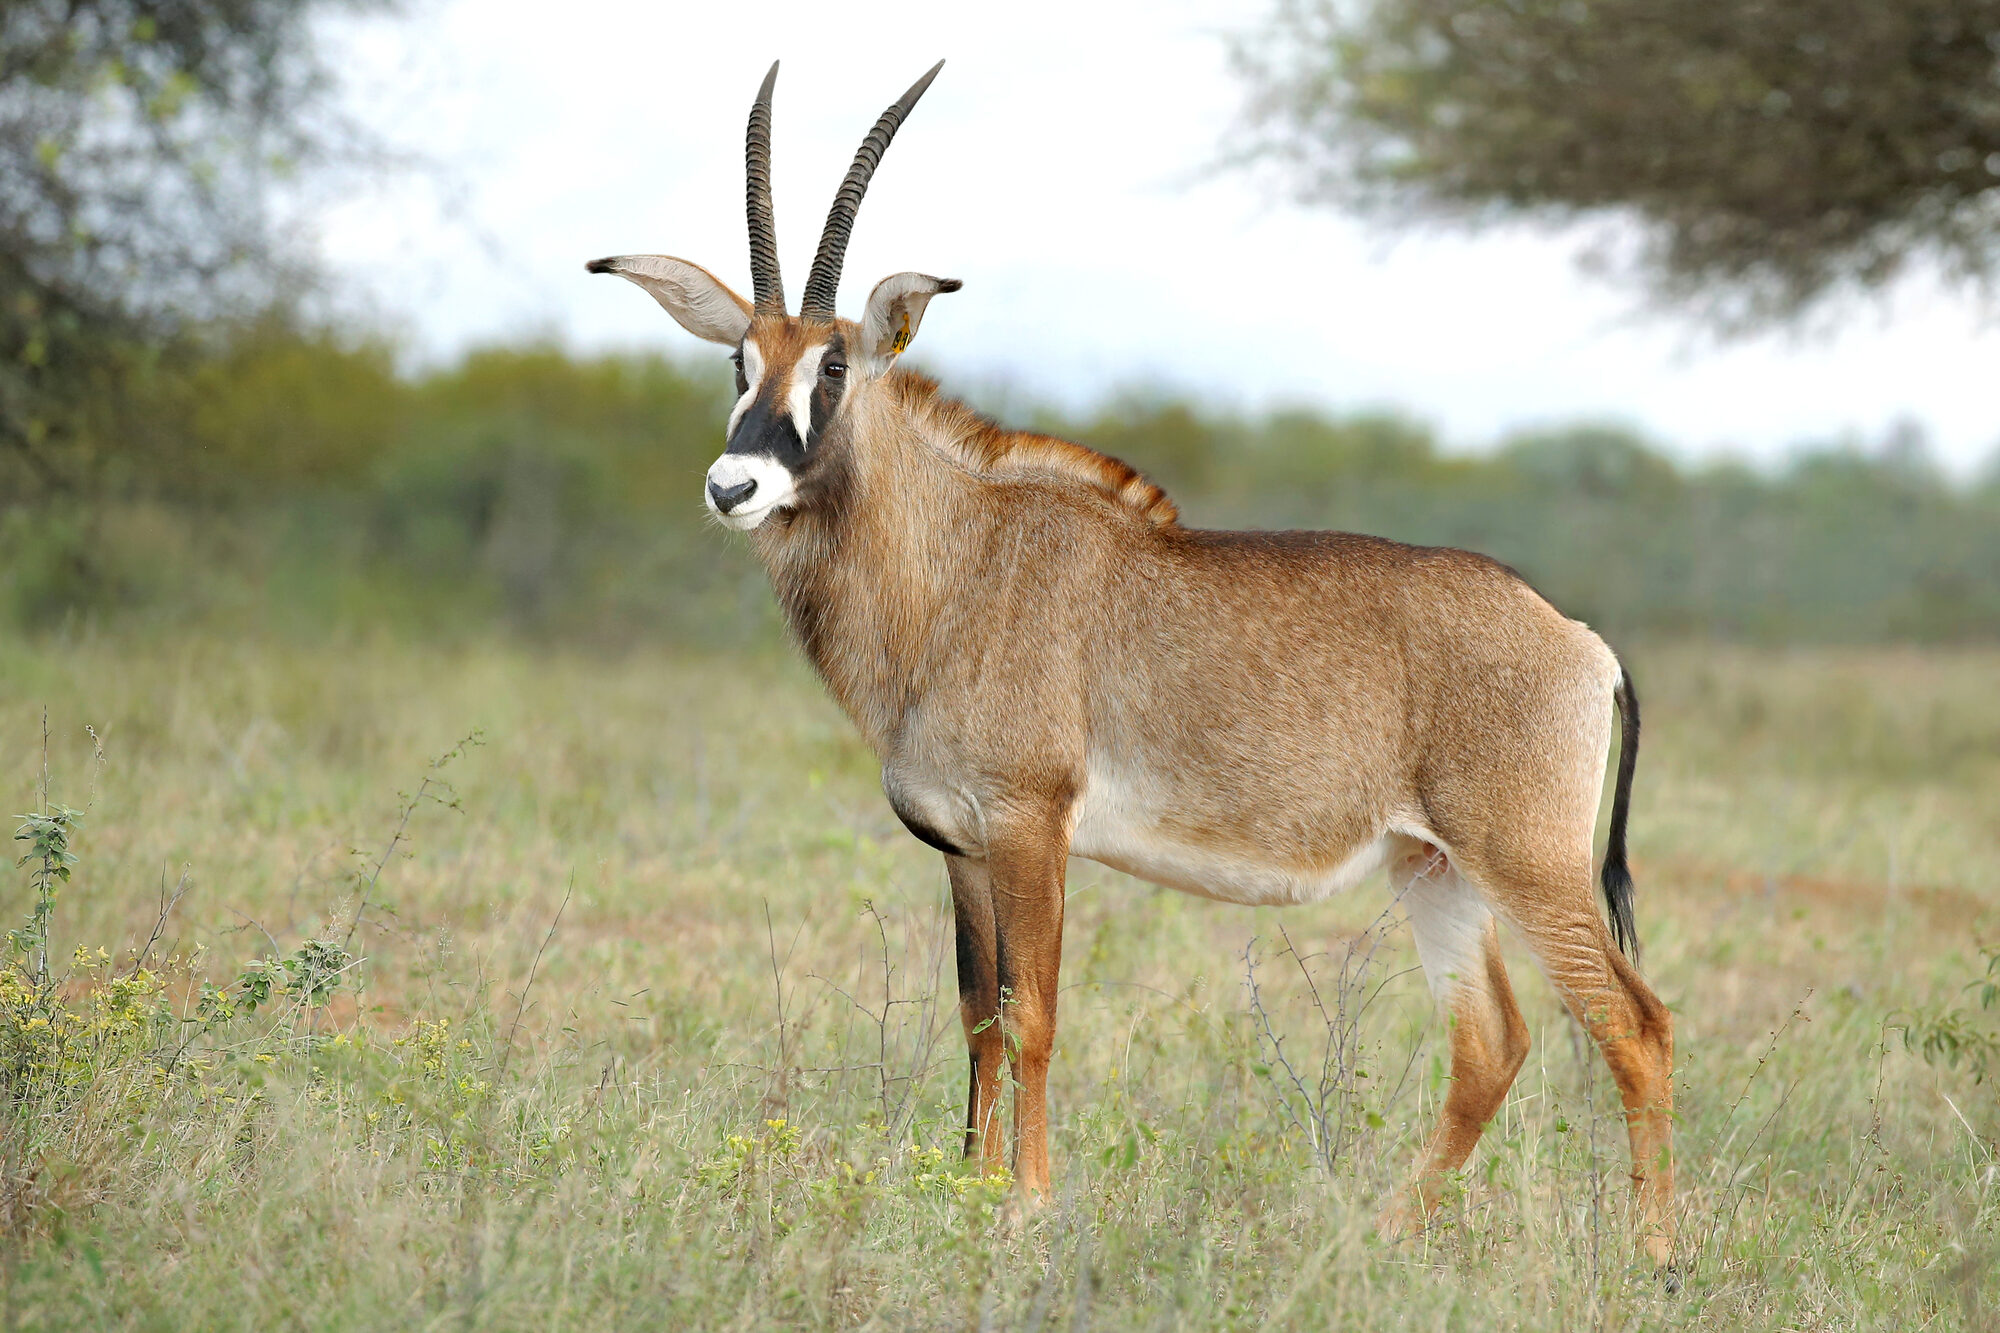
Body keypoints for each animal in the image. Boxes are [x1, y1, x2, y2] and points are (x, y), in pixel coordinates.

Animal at [588, 61, 1675, 1263]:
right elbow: (977, 1016)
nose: (733, 485)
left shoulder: (1031, 827)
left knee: (1632, 1022)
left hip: (1525, 860)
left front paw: (1027, 1203)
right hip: (1432, 866)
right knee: (1492, 1041)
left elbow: (1034, 1014)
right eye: (739, 361)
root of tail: (1581, 642)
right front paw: (973, 1192)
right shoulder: (962, 847)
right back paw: (1379, 1234)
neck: (959, 559)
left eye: (833, 364)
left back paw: (1656, 1256)